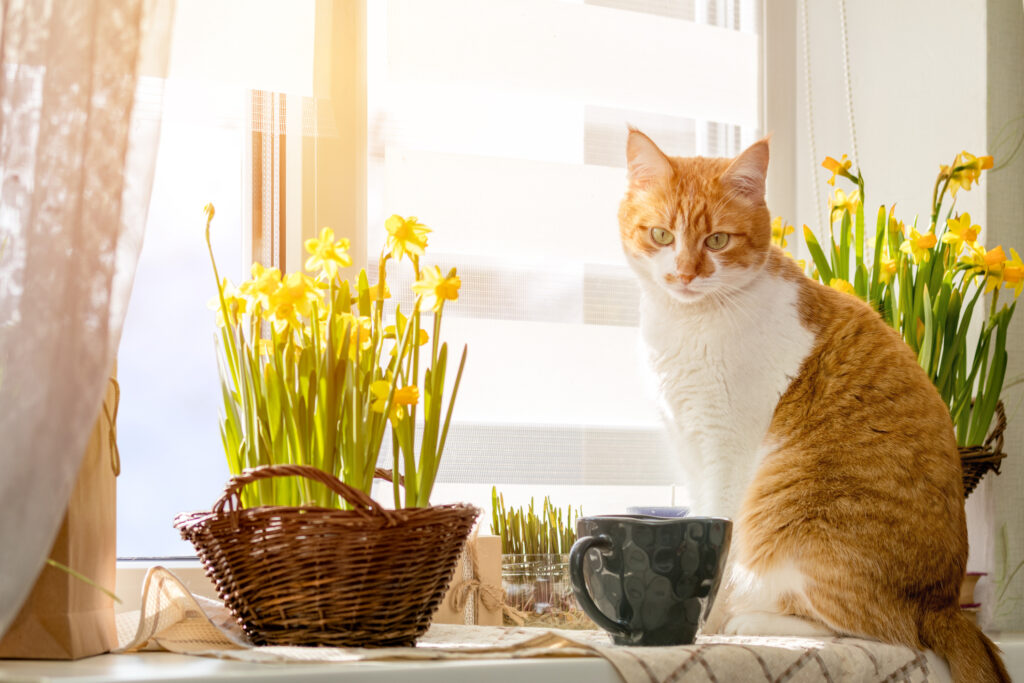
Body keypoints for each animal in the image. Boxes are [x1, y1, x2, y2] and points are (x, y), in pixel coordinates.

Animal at [614, 129, 1007, 683]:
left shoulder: (726, 449)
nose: (686, 275)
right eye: (661, 235)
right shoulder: (689, 444)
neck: (688, 324)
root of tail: (944, 603)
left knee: (871, 630)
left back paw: (748, 620)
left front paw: (704, 621)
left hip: (797, 527)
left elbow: (718, 532)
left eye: (717, 241)